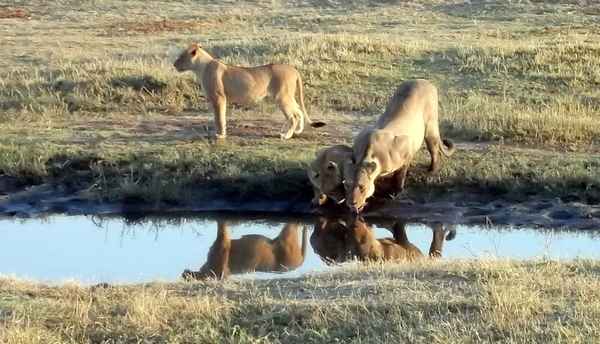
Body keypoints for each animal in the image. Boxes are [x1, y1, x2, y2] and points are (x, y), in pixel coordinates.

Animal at [171, 43, 326, 140]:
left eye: (181, 56)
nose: (174, 64)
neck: (201, 66)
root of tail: (294, 69)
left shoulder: (218, 98)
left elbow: (218, 118)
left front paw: (220, 135)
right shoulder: (221, 99)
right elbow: (222, 117)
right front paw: (223, 134)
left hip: (282, 97)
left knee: (293, 116)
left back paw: (286, 136)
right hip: (288, 97)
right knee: (299, 111)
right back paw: (298, 131)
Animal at [180, 220, 308, 280]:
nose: (184, 272)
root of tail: (299, 263)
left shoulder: (224, 242)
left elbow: (222, 226)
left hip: (287, 236)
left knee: (296, 223)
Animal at [342, 78, 454, 212]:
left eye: (361, 186)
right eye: (347, 185)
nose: (351, 203)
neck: (367, 156)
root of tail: (422, 80)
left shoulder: (406, 150)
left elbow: (399, 176)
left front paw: (397, 192)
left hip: (430, 126)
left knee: (434, 149)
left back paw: (432, 169)